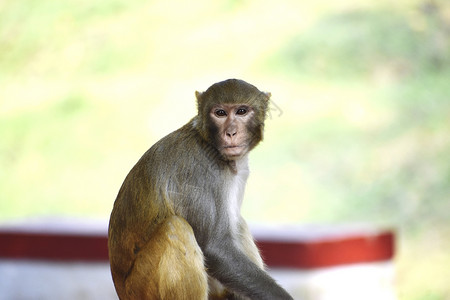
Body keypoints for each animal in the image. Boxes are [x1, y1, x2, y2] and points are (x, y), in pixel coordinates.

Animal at [107, 78, 294, 298]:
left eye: (241, 111)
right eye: (220, 113)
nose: (231, 132)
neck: (210, 144)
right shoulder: (199, 171)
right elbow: (214, 247)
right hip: (140, 287)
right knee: (175, 228)